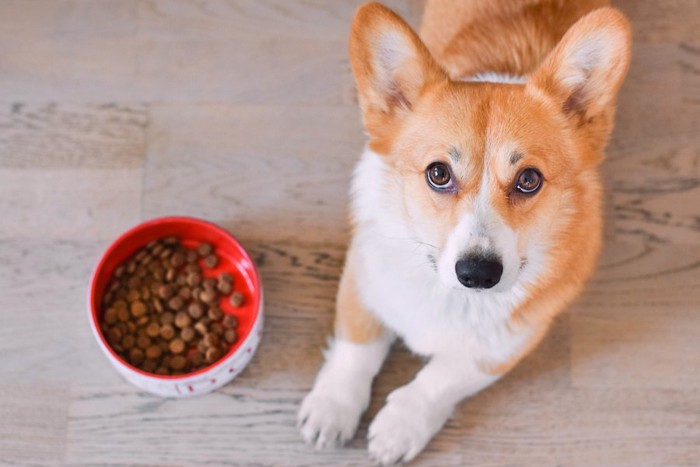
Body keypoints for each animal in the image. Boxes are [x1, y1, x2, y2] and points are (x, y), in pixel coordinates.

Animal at [298, 0, 632, 464]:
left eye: (529, 179)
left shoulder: (506, 344)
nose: (477, 274)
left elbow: (441, 378)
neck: (452, 298)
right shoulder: (363, 277)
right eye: (438, 174)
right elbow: (357, 347)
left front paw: (400, 427)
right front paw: (332, 409)